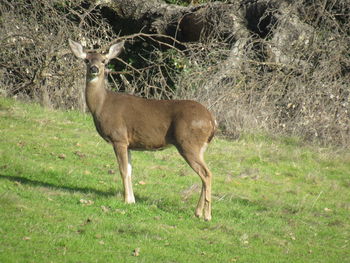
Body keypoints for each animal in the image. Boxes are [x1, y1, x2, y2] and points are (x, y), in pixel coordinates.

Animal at [68, 38, 216, 222]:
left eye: (104, 61)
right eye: (86, 60)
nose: (94, 69)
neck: (101, 105)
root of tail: (211, 120)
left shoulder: (119, 137)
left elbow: (123, 170)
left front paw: (126, 200)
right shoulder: (128, 143)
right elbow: (130, 170)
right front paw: (132, 200)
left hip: (188, 142)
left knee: (207, 173)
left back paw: (207, 216)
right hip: (200, 146)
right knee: (204, 174)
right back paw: (198, 212)